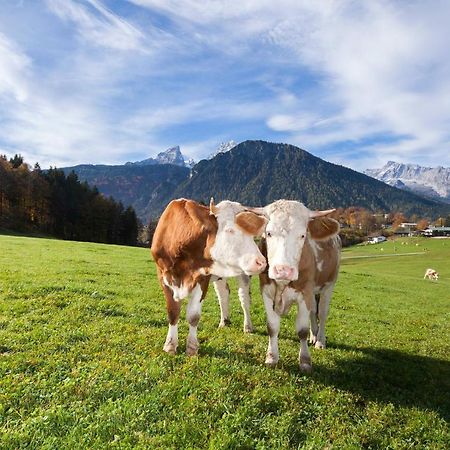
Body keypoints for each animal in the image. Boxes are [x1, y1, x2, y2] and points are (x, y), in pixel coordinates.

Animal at [149, 199, 268, 356]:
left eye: (251, 236)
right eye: (230, 230)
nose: (261, 262)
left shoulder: (202, 279)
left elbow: (193, 316)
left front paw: (192, 348)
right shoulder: (163, 277)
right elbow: (173, 312)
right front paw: (170, 345)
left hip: (244, 274)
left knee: (244, 299)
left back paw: (247, 326)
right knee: (223, 294)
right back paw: (224, 321)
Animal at [256, 200, 342, 372]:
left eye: (302, 235)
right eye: (268, 233)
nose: (283, 270)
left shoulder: (305, 293)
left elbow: (301, 330)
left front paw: (305, 361)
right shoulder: (266, 292)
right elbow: (272, 327)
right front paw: (271, 357)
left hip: (328, 286)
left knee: (322, 313)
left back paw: (320, 341)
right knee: (313, 312)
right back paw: (314, 336)